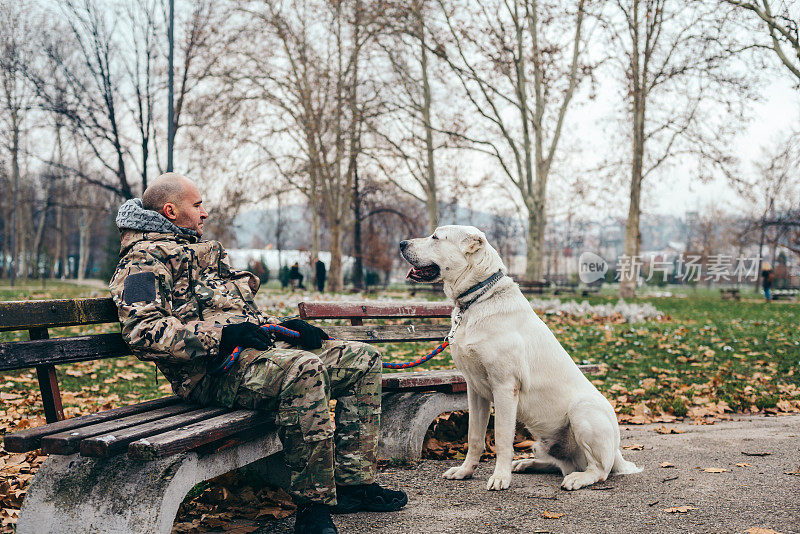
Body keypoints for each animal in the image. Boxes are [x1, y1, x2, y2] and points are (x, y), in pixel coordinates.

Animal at [400, 224, 644, 492]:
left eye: (435, 237)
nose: (401, 243)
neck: (477, 299)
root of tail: (618, 454)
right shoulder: (474, 389)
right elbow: (474, 437)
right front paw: (465, 471)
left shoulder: (505, 387)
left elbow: (502, 439)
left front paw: (500, 477)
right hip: (541, 442)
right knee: (561, 464)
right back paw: (527, 463)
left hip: (583, 412)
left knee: (599, 470)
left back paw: (577, 479)